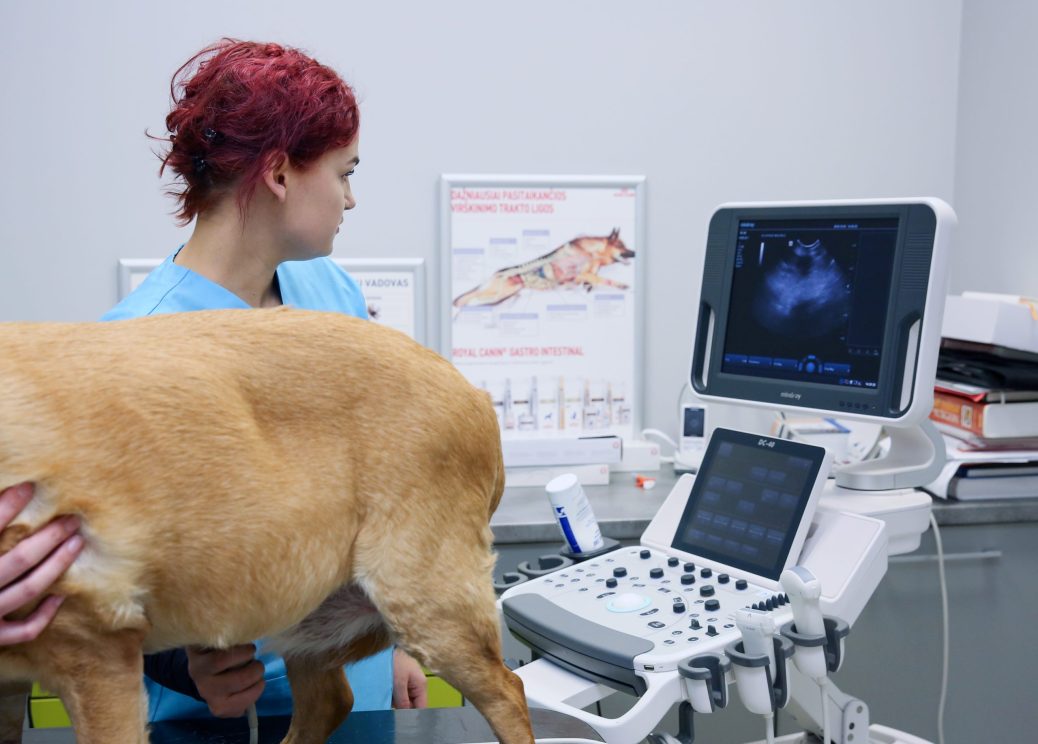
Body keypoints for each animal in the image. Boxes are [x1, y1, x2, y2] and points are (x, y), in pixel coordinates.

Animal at [0, 307, 534, 744]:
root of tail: (474, 392)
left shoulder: (98, 653)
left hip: (426, 603)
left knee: (510, 691)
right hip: (310, 619)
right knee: (329, 702)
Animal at [453, 228, 635, 308]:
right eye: (621, 246)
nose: (635, 253)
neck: (592, 251)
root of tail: (496, 273)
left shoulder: (585, 274)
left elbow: (594, 279)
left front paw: (587, 287)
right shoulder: (582, 273)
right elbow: (602, 278)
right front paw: (621, 285)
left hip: (503, 299)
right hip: (495, 295)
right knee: (464, 301)